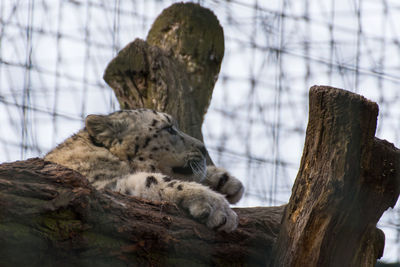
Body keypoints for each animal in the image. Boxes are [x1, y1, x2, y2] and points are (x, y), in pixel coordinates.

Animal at [45, 109, 242, 232]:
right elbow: (155, 180)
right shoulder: (99, 184)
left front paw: (226, 180)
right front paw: (219, 207)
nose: (203, 148)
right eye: (169, 128)